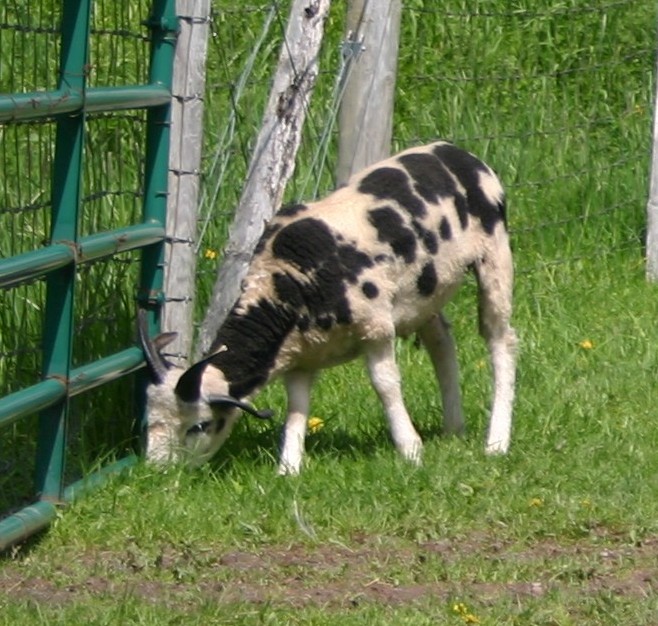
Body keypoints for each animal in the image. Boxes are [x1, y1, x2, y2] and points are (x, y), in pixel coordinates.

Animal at [139, 141, 518, 475]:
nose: (159, 473)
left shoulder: (376, 328)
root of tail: (458, 153)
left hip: (494, 255)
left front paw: (410, 451)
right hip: (425, 291)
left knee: (500, 339)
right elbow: (296, 407)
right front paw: (288, 469)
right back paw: (454, 428)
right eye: (149, 420)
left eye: (199, 426)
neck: (287, 282)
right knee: (441, 342)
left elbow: (385, 385)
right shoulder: (299, 356)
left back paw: (496, 442)